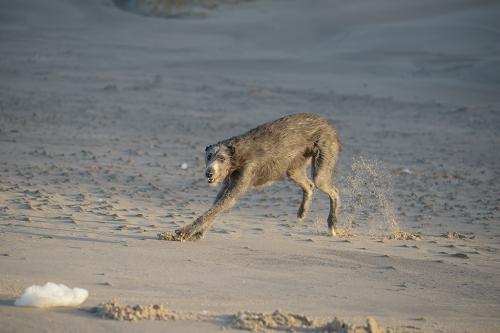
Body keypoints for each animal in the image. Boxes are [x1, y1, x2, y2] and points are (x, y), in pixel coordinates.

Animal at [174, 113, 342, 240]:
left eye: (221, 158)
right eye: (208, 157)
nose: (209, 173)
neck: (236, 156)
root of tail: (326, 122)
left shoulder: (242, 178)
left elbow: (219, 207)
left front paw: (186, 231)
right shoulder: (228, 183)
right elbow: (214, 207)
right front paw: (199, 232)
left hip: (323, 154)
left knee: (331, 189)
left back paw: (332, 223)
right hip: (293, 168)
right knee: (309, 185)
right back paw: (302, 212)